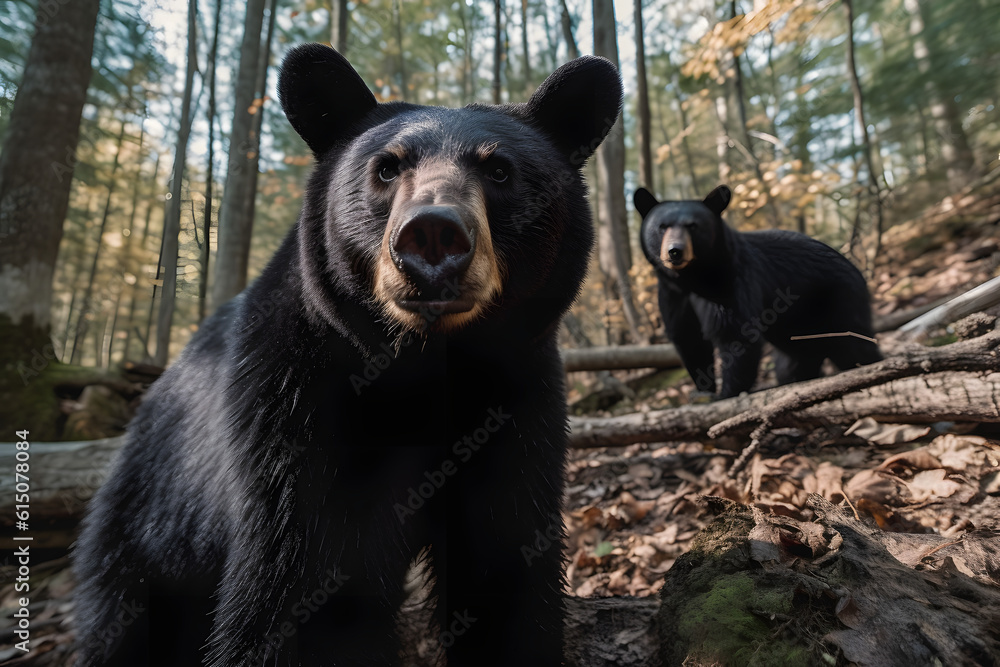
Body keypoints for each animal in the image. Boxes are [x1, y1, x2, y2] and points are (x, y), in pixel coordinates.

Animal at [72, 44, 622, 667]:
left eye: (498, 169)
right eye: (387, 167)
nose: (433, 236)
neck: (425, 365)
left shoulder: (516, 398)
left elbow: (504, 558)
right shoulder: (296, 411)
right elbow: (307, 584)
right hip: (150, 524)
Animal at [634, 185, 881, 399]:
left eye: (693, 226)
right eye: (662, 226)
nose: (675, 251)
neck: (693, 279)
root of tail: (855, 268)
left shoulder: (733, 282)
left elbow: (735, 333)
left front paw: (726, 393)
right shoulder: (672, 294)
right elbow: (687, 337)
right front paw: (703, 391)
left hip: (840, 298)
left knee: (854, 343)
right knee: (793, 362)